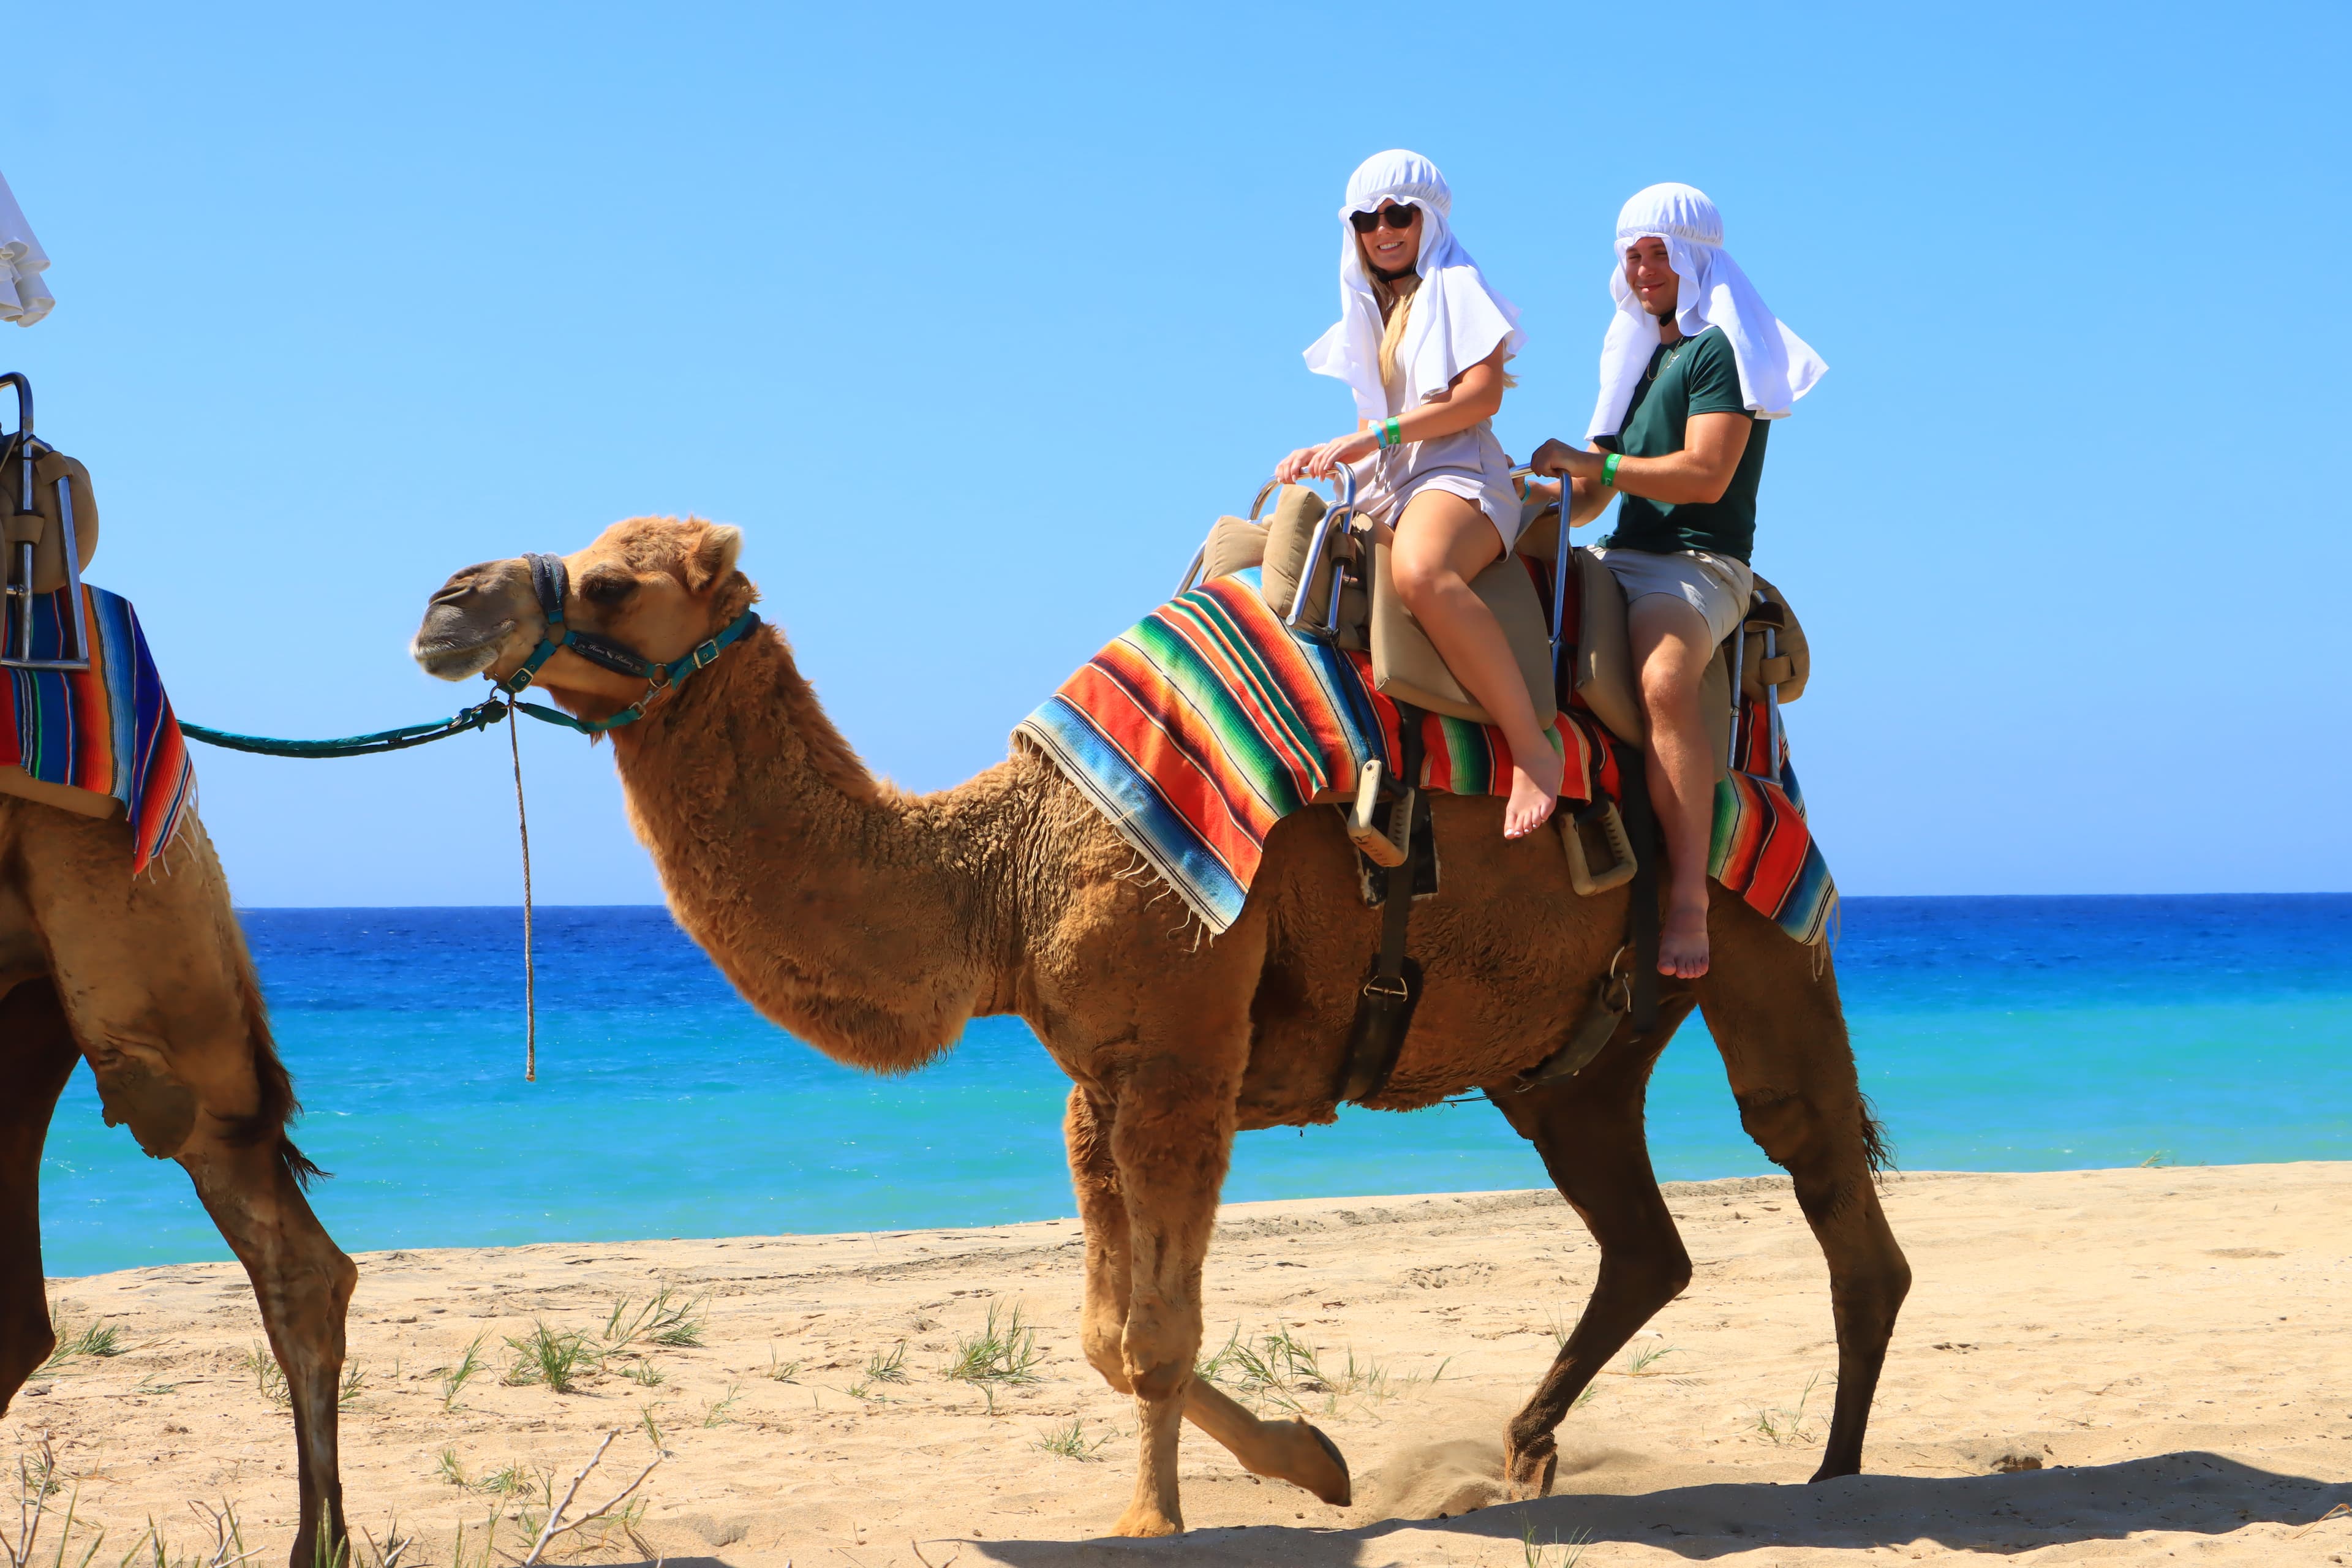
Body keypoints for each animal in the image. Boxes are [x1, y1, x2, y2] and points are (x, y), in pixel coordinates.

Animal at [412, 515, 1911, 1539]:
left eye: (615, 580)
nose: (444, 600)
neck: (1006, 872)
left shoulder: (1186, 1060)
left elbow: (1156, 1333)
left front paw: (1156, 1520)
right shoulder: (1097, 1084)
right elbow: (1103, 1332)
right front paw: (1317, 1461)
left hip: (1754, 916)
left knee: (1823, 1171)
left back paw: (1837, 1481)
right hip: (1567, 1051)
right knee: (1641, 1228)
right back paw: (1531, 1453)